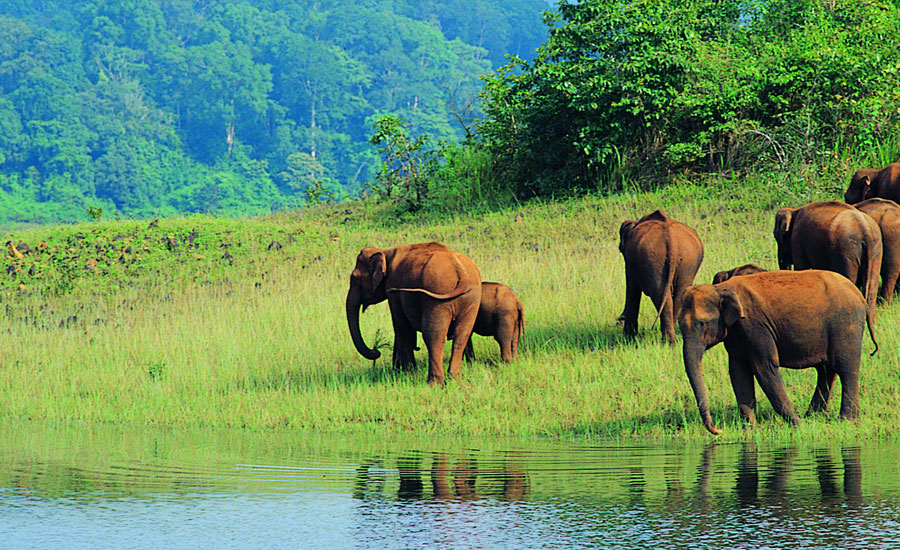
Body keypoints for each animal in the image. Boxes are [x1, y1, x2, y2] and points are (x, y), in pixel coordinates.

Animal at [346, 244, 486, 386]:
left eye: (354, 278)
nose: (376, 351)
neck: (386, 252)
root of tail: (461, 271)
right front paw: (400, 371)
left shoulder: (392, 287)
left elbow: (400, 325)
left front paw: (407, 373)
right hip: (472, 298)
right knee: (462, 335)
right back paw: (454, 380)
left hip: (437, 296)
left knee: (433, 335)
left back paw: (434, 383)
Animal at [620, 210, 704, 344]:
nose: (620, 318)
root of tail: (672, 242)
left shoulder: (630, 263)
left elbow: (632, 289)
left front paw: (628, 340)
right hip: (687, 262)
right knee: (677, 296)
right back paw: (672, 341)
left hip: (653, 260)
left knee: (659, 295)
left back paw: (668, 342)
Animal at [680, 270, 876, 436]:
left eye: (702, 323)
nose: (718, 430)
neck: (720, 289)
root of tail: (860, 297)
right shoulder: (736, 332)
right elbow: (738, 372)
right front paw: (750, 431)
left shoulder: (754, 325)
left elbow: (764, 367)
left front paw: (798, 426)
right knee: (826, 370)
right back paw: (813, 416)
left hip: (846, 323)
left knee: (846, 369)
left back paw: (846, 420)